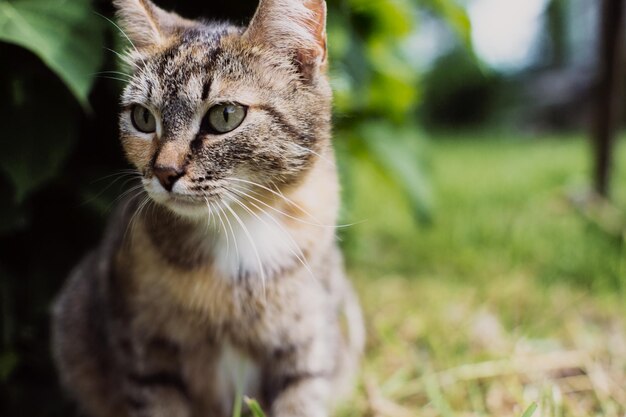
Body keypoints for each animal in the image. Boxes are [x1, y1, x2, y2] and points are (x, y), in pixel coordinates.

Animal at [52, 0, 366, 416]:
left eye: (225, 116)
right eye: (143, 117)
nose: (164, 172)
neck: (238, 230)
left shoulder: (307, 343)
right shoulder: (145, 351)